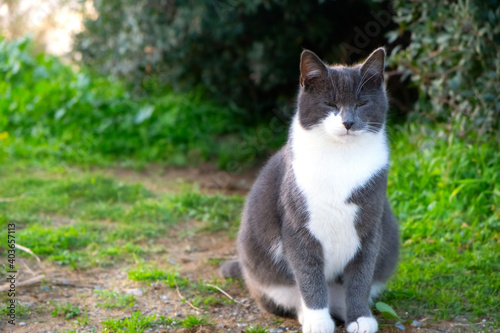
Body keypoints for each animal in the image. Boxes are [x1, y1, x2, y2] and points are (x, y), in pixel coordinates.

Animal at [221, 47, 400, 332]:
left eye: (361, 104)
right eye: (330, 104)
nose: (348, 122)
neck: (341, 159)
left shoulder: (370, 226)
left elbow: (360, 276)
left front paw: (360, 317)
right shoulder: (297, 227)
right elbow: (308, 276)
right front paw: (318, 321)